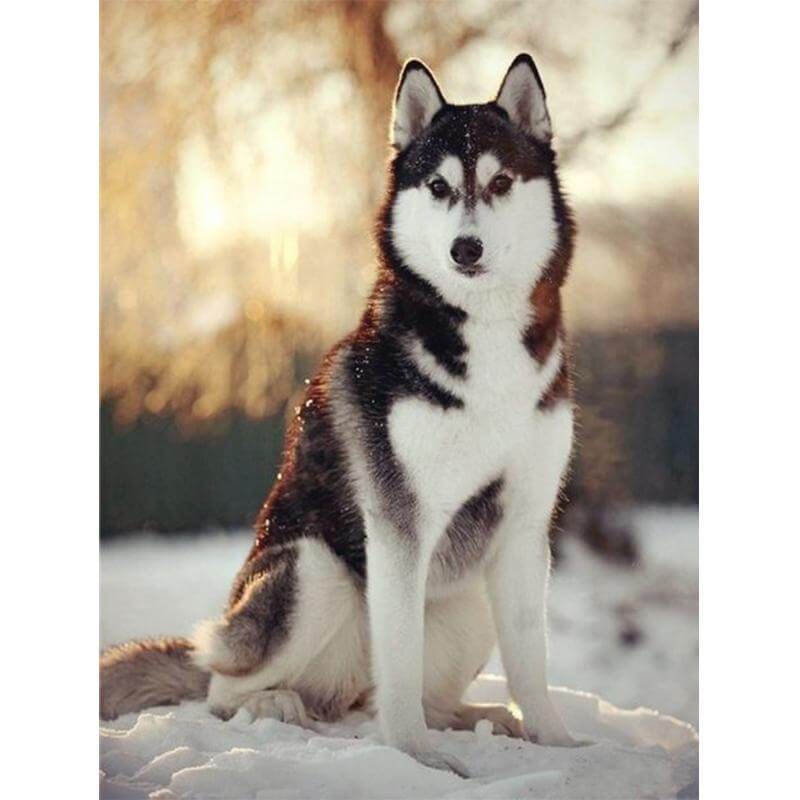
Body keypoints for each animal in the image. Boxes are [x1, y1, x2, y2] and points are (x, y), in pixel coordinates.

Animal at [101, 53, 579, 776]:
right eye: (438, 186)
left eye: (499, 182)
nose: (465, 249)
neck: (485, 335)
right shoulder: (399, 523)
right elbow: (400, 663)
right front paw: (415, 757)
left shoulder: (525, 524)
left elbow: (532, 661)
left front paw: (557, 741)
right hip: (313, 572)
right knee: (224, 689)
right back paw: (277, 705)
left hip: (468, 599)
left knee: (397, 694)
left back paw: (480, 718)